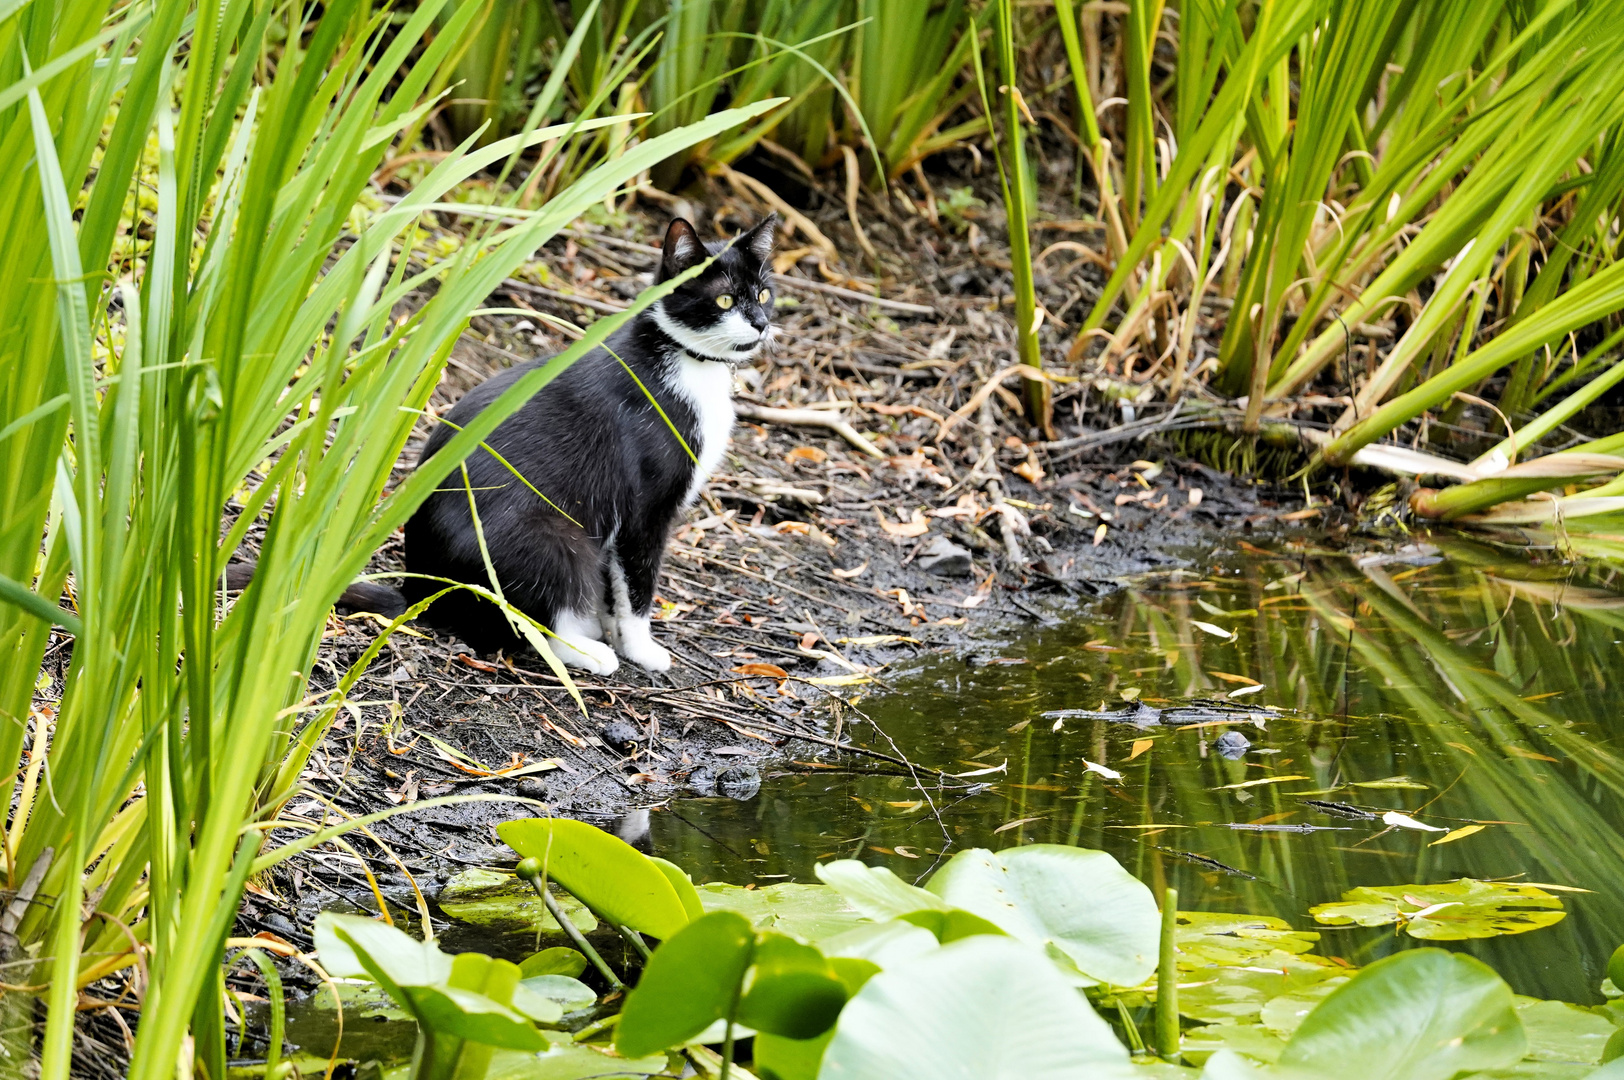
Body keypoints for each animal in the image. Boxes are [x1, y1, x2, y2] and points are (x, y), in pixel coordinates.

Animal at [402, 216, 776, 675]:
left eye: (763, 294)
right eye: (724, 299)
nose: (760, 323)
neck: (688, 364)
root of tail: (416, 587)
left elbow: (613, 586)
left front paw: (613, 628)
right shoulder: (645, 508)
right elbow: (637, 584)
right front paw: (640, 648)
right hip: (553, 538)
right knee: (532, 620)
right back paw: (587, 651)